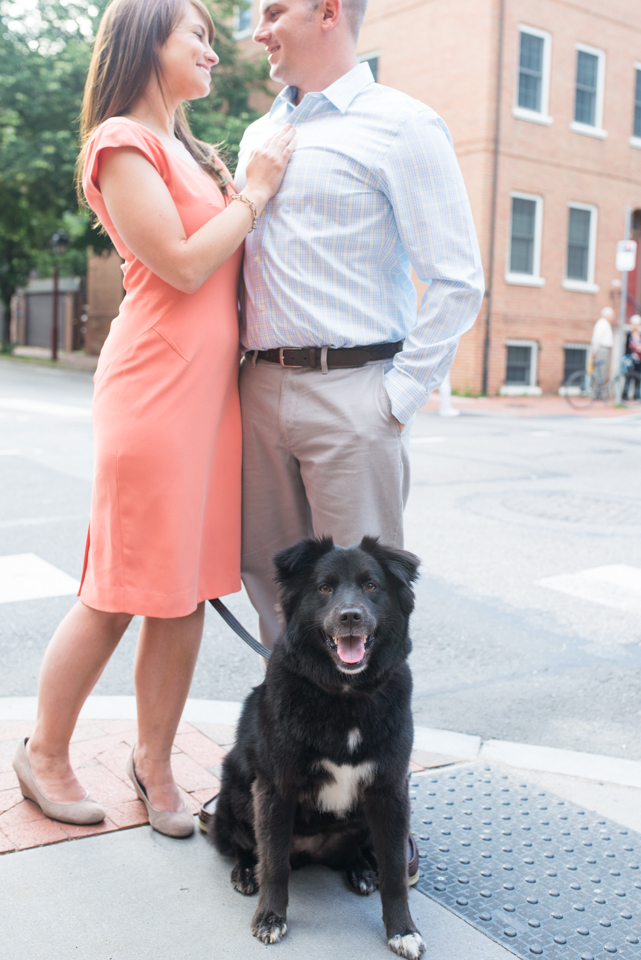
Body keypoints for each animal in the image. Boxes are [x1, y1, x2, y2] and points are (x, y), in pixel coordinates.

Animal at [211, 536, 424, 956]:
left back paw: (361, 869)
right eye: (324, 588)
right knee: (245, 845)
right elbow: (274, 862)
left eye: (371, 586)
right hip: (234, 794)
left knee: (353, 851)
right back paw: (245, 872)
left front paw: (402, 930)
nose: (350, 616)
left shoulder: (390, 790)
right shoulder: (275, 789)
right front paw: (270, 918)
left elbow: (393, 870)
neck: (346, 697)